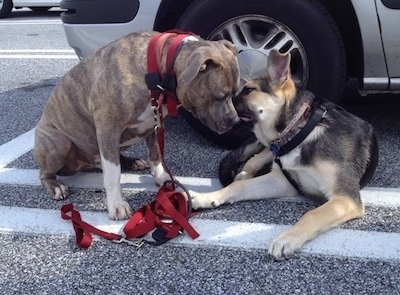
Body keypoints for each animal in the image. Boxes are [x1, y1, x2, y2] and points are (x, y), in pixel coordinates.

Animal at [34, 30, 239, 220]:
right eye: (219, 96)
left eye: (235, 93)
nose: (236, 121)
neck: (159, 72)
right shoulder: (107, 126)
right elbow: (113, 174)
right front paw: (116, 205)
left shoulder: (155, 122)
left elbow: (155, 154)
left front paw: (162, 177)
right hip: (60, 145)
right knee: (46, 173)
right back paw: (56, 186)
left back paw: (131, 161)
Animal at [188, 51, 378, 262]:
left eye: (248, 90)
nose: (209, 102)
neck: (301, 131)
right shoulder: (281, 180)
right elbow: (239, 187)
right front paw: (208, 197)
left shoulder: (345, 198)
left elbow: (312, 214)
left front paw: (287, 238)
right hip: (268, 152)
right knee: (255, 159)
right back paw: (243, 174)